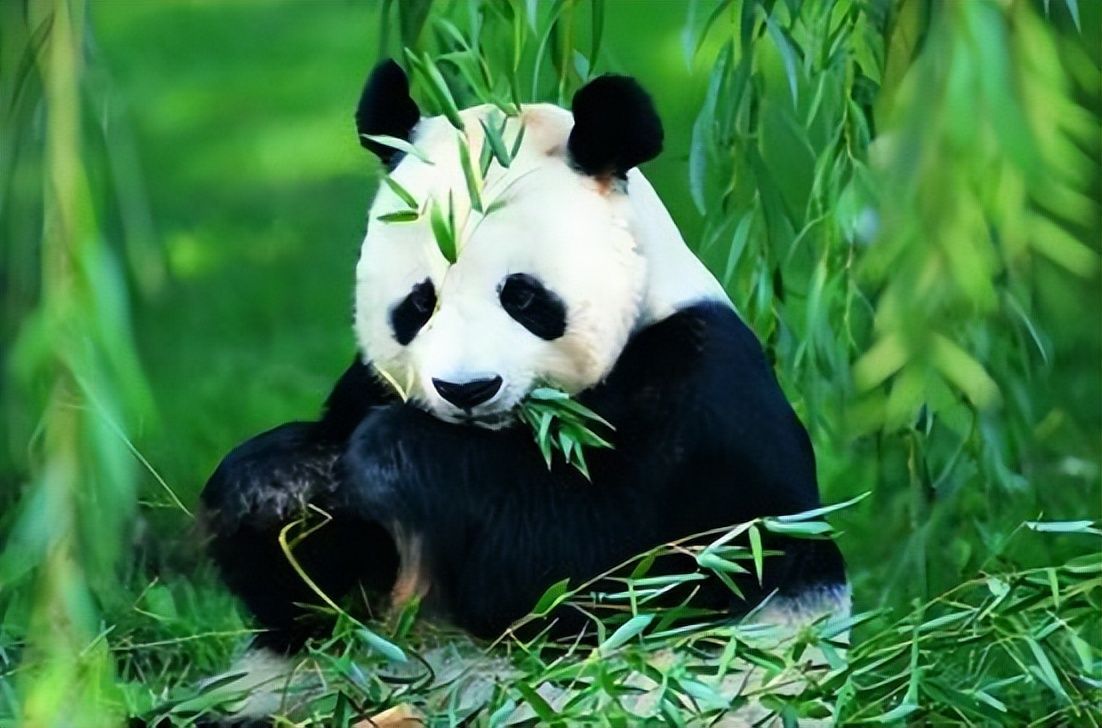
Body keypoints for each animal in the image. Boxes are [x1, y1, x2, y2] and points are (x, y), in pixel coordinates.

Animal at [199, 59, 847, 717]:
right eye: (419, 303)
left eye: (523, 297)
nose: (467, 390)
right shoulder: (367, 386)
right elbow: (319, 597)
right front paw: (278, 485)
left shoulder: (704, 395)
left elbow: (601, 567)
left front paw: (396, 455)